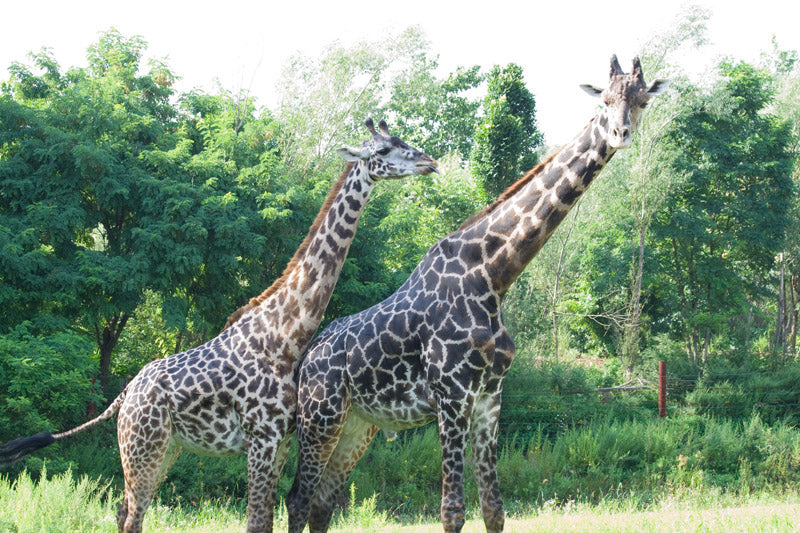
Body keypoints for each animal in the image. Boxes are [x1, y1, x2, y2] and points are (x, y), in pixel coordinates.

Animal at [0, 119, 438, 533]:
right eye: (383, 150)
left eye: (403, 142)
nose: (429, 161)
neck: (287, 335)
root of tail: (122, 397)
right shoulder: (261, 439)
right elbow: (257, 522)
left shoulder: (280, 442)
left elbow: (265, 520)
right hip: (142, 447)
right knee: (132, 514)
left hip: (166, 448)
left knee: (125, 511)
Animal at [286, 56, 669, 533]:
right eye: (605, 99)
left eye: (641, 100)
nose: (621, 132)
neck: (492, 277)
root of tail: (305, 362)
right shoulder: (452, 395)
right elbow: (452, 510)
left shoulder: (490, 396)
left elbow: (494, 509)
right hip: (320, 417)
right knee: (297, 498)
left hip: (357, 423)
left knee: (321, 502)